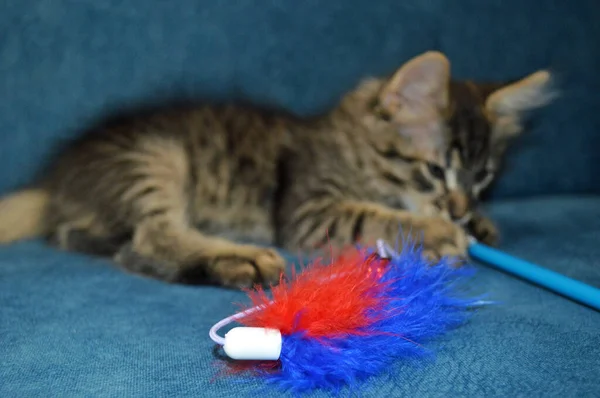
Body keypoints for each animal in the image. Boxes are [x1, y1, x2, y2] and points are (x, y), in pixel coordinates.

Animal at [0, 52, 552, 290]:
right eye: (435, 171)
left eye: (483, 178)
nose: (459, 209)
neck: (349, 142)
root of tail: (55, 180)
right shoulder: (309, 209)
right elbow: (373, 214)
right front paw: (437, 231)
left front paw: (479, 223)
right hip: (153, 158)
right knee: (152, 236)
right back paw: (240, 259)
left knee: (126, 248)